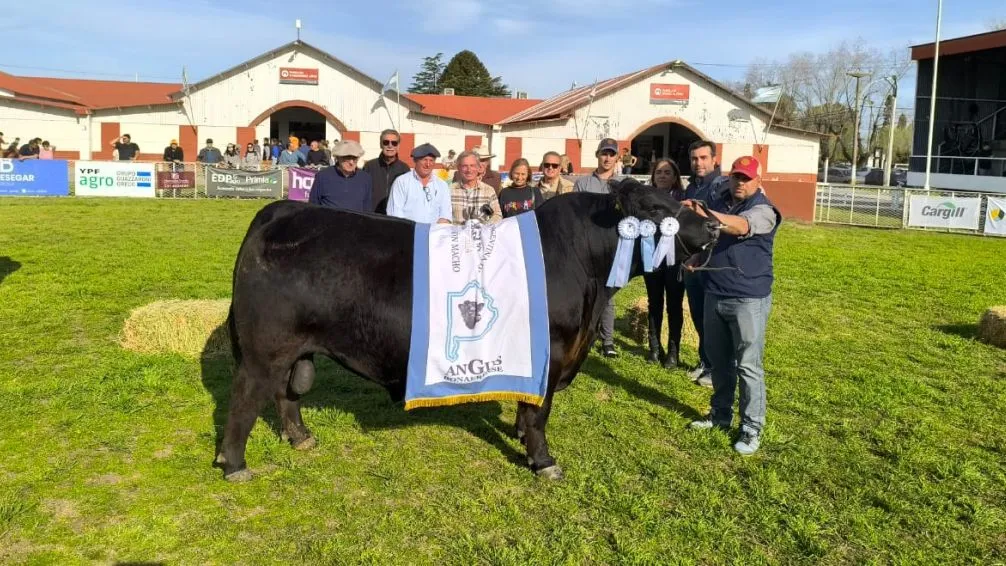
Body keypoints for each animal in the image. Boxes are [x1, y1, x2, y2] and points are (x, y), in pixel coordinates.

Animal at [218, 178, 724, 480]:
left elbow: (526, 405)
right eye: (656, 208)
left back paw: (301, 438)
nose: (715, 228)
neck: (583, 267)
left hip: (293, 348)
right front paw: (543, 461)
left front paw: (520, 438)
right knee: (245, 398)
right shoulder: (553, 351)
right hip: (265, 349)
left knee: (286, 395)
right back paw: (235, 464)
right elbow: (540, 413)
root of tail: (280, 211)